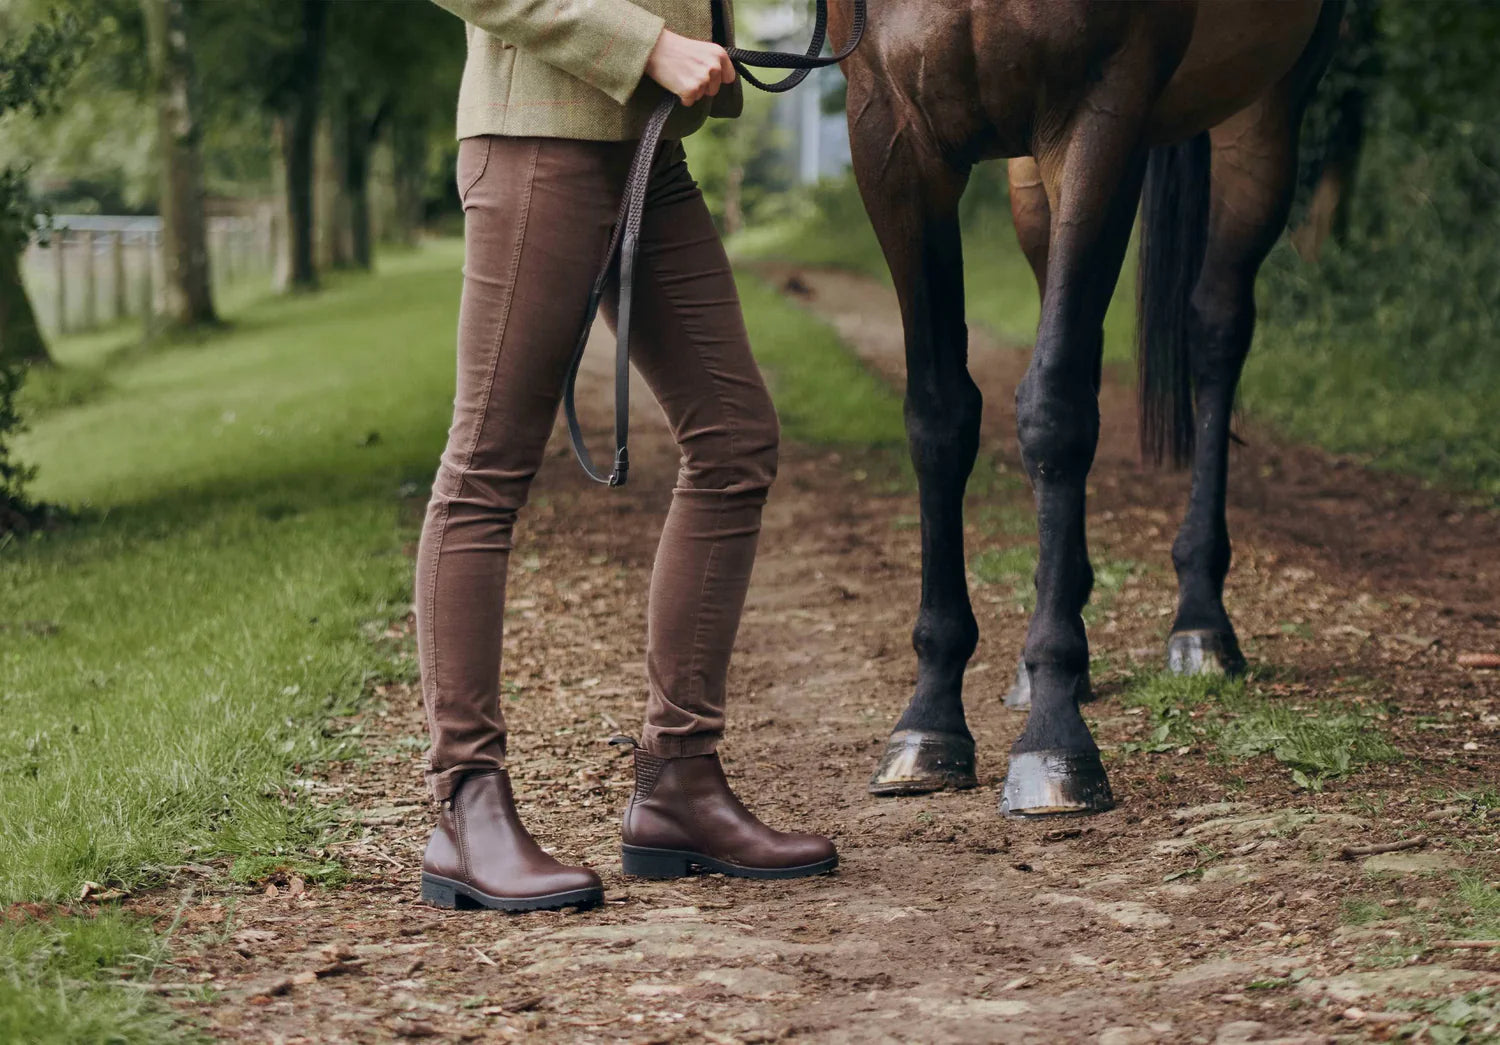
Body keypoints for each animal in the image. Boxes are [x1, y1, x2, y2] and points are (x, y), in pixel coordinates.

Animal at [834, 0, 1350, 815]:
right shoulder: (888, 133)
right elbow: (940, 415)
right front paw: (929, 721)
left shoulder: (1100, 113)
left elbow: (1055, 409)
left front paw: (1054, 737)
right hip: (1027, 175)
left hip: (1266, 109)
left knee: (1214, 326)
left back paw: (1200, 623)